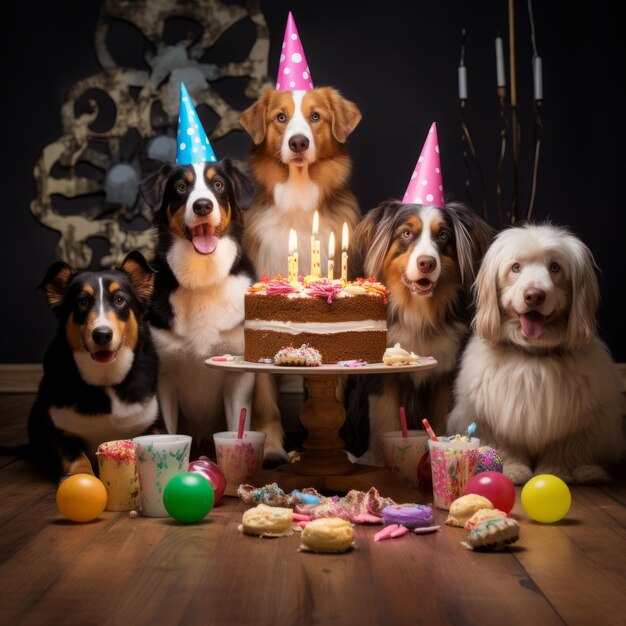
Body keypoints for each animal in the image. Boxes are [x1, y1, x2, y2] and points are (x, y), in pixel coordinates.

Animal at [29, 251, 161, 476]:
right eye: (82, 302)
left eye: (119, 300)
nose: (102, 335)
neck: (106, 379)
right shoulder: (63, 435)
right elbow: (78, 462)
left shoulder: (152, 425)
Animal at [138, 158, 266, 456]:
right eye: (181, 187)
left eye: (217, 184)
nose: (203, 205)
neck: (202, 278)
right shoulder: (165, 379)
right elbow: (169, 431)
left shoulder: (238, 378)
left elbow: (238, 424)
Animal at [342, 201, 492, 464]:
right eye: (406, 233)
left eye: (443, 235)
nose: (427, 263)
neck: (418, 312)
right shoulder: (382, 380)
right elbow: (386, 422)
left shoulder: (445, 373)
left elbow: (440, 420)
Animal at [446, 223, 620, 482]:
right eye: (515, 267)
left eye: (555, 267)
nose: (534, 295)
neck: (533, 353)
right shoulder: (494, 417)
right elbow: (504, 444)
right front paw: (512, 468)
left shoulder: (576, 422)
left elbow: (565, 448)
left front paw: (556, 471)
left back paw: (588, 471)